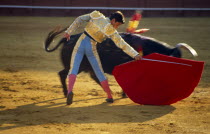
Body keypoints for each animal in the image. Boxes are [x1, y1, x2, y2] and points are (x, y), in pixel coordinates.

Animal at [44, 27, 197, 97]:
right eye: (174, 58)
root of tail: (67, 39)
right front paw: (126, 94)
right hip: (77, 65)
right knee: (63, 74)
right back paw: (66, 93)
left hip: (88, 65)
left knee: (93, 76)